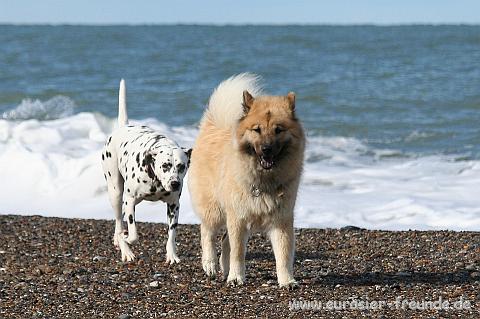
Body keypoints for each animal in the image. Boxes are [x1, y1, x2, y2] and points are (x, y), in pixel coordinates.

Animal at [101, 79, 191, 264]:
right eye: (165, 165)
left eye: (181, 166)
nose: (175, 183)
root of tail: (123, 127)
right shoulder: (129, 200)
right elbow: (133, 234)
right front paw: (126, 242)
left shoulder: (174, 205)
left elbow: (171, 234)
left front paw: (172, 254)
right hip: (116, 192)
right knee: (119, 220)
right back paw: (124, 247)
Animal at [188, 74, 304, 288]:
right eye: (257, 129)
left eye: (278, 130)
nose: (266, 149)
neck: (264, 179)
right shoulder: (239, 218)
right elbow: (238, 252)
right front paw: (236, 277)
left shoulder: (281, 220)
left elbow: (283, 255)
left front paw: (287, 280)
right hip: (215, 210)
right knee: (207, 232)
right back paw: (210, 264)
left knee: (224, 241)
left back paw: (224, 268)